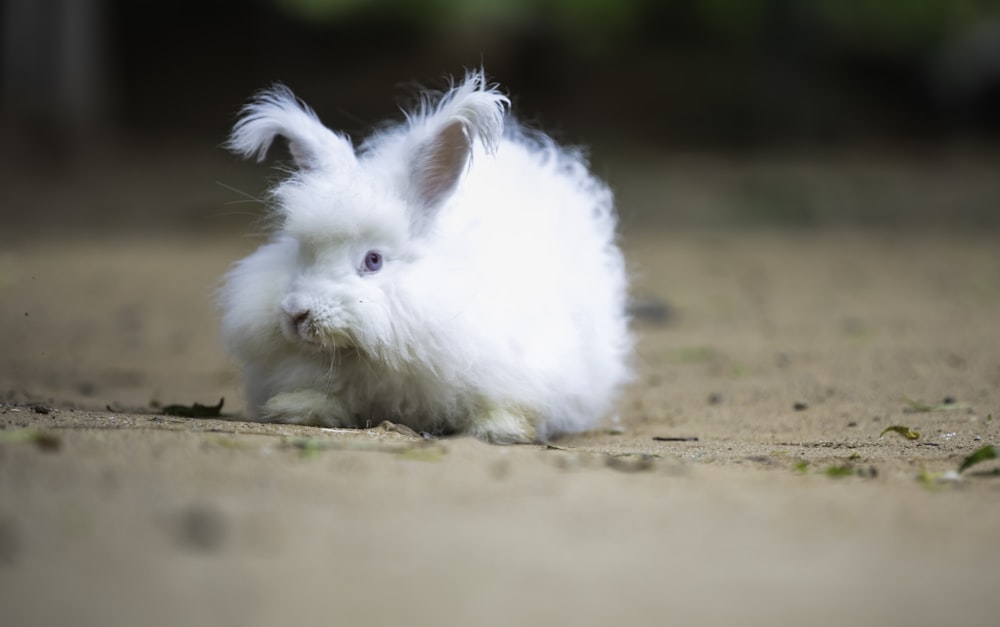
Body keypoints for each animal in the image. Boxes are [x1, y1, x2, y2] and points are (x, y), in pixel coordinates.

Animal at [222, 71, 628, 444]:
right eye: (301, 252)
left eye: (373, 261)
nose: (295, 313)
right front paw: (296, 409)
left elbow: (507, 405)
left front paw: (499, 430)